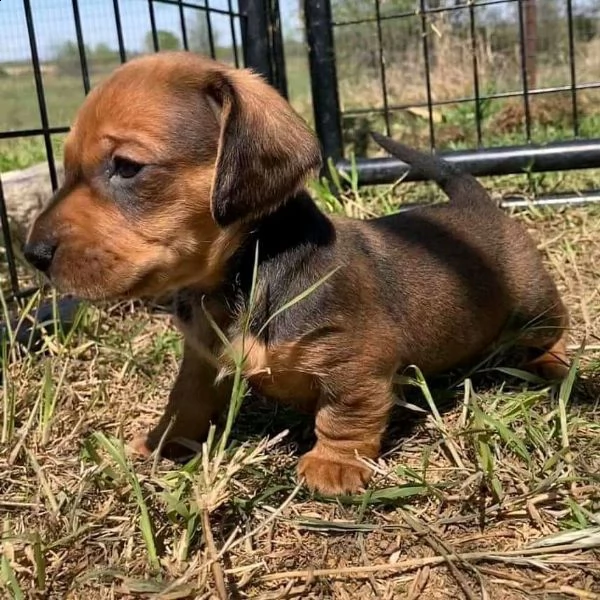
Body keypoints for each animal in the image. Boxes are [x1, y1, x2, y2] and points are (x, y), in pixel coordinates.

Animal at [23, 51, 568, 494]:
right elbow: (185, 403)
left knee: (552, 332)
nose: (32, 254)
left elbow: (346, 412)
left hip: (535, 304)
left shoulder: (357, 362)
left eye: (127, 166)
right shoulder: (200, 362)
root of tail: (476, 200)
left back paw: (555, 364)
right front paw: (162, 441)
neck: (242, 276)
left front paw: (334, 465)